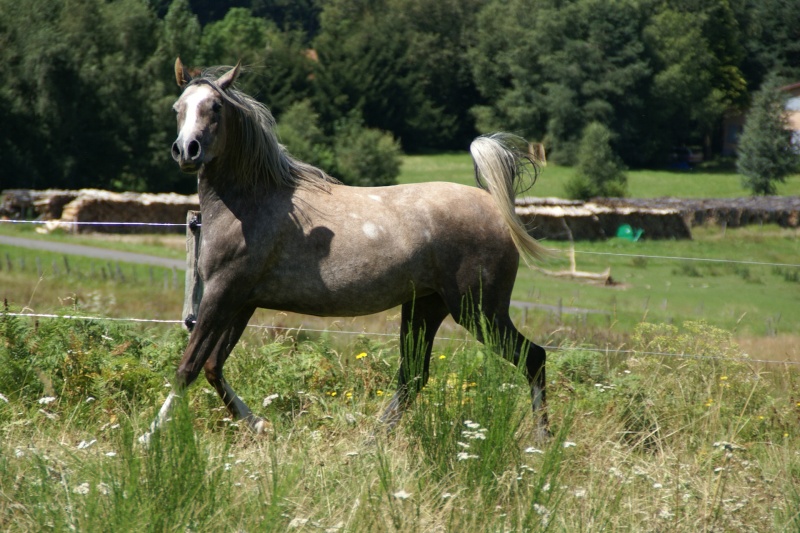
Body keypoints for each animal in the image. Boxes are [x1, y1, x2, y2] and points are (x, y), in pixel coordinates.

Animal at [139, 57, 552, 440]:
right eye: (178, 107)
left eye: (215, 107)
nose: (186, 150)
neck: (250, 203)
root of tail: (495, 208)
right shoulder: (242, 301)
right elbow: (213, 367)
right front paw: (260, 424)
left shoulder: (223, 293)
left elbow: (188, 367)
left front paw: (148, 438)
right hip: (427, 306)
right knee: (414, 375)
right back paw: (371, 440)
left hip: (478, 310)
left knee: (533, 357)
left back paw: (543, 441)